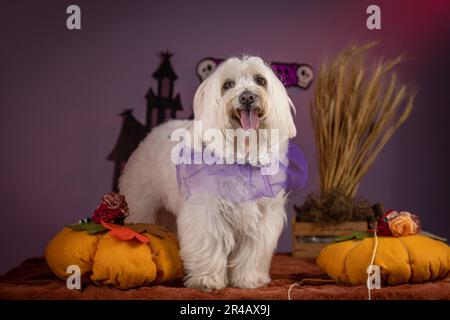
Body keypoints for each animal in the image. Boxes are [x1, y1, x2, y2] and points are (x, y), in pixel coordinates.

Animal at [118, 55, 298, 290]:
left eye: (260, 80)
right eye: (227, 84)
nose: (247, 96)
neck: (241, 153)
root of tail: (155, 131)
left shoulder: (262, 219)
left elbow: (252, 253)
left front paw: (248, 279)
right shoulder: (206, 214)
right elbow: (210, 245)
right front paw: (207, 280)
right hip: (141, 205)